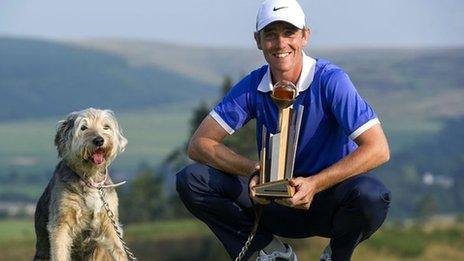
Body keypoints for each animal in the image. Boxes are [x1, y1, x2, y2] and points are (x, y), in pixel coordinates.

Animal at [34, 107, 130, 260]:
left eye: (106, 127)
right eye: (83, 127)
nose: (99, 140)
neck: (91, 180)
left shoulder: (109, 222)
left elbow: (118, 249)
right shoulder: (61, 223)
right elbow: (59, 251)